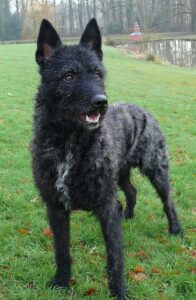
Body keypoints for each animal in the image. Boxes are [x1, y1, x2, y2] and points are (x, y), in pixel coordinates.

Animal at [31, 19, 183, 300]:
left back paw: (176, 230)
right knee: (132, 192)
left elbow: (115, 257)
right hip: (120, 174)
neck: (70, 143)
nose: (101, 102)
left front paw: (119, 291)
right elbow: (62, 250)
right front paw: (61, 281)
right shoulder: (56, 208)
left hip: (157, 169)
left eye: (98, 74)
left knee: (168, 201)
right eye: (68, 76)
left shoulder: (106, 206)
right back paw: (129, 216)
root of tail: (142, 109)